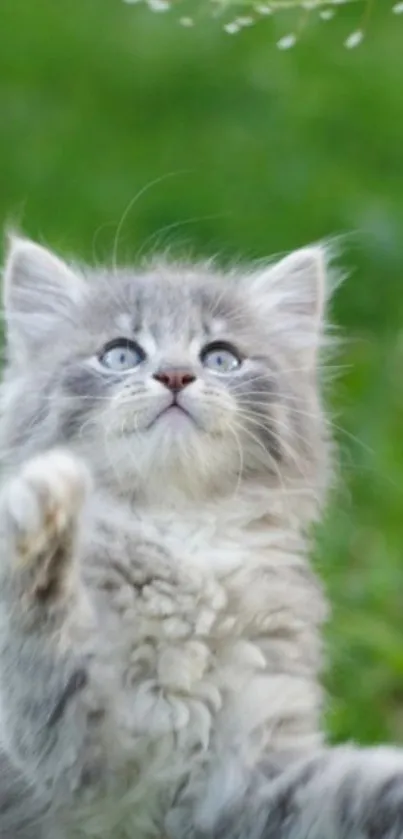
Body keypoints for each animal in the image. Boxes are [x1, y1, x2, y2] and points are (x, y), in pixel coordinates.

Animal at [0, 236, 403, 839]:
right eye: (120, 354)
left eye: (220, 358)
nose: (174, 376)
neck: (178, 539)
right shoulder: (86, 765)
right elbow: (48, 658)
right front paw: (43, 510)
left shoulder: (240, 785)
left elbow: (359, 793)